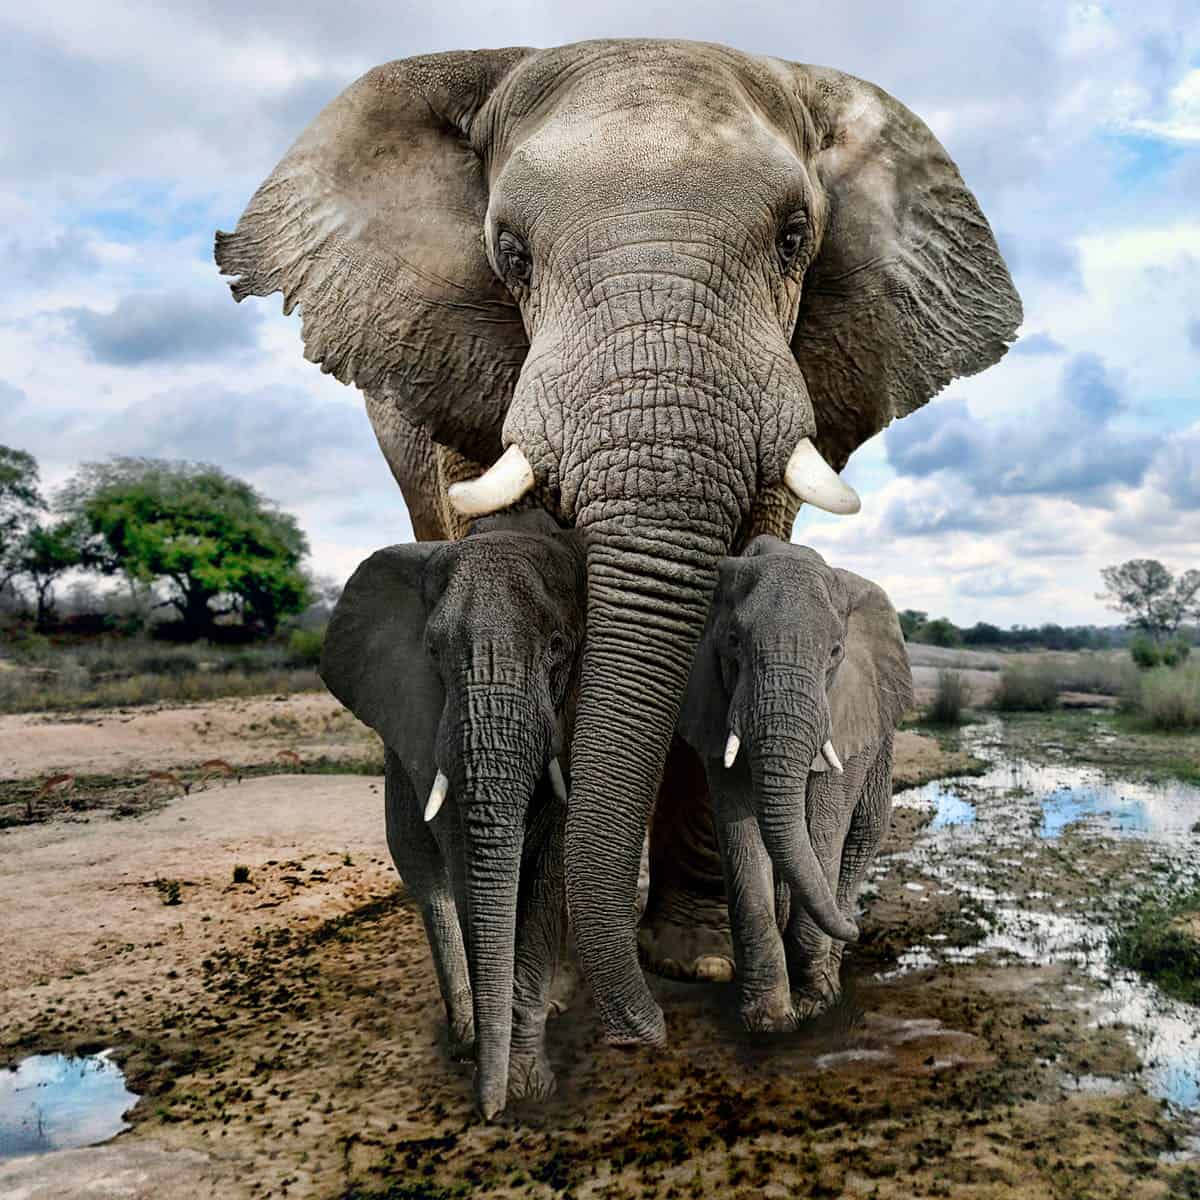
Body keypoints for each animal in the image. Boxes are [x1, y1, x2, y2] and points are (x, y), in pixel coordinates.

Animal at [319, 510, 586, 1118]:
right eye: (434, 653)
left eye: (558, 645)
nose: (487, 1114)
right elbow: (463, 856)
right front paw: (504, 1079)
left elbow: (549, 865)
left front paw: (525, 1089)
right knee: (425, 873)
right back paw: (466, 1036)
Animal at [677, 536, 912, 1031]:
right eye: (733, 642)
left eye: (836, 652)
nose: (858, 929)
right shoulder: (713, 701)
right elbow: (740, 832)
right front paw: (767, 1021)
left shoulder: (847, 711)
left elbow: (824, 827)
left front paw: (816, 1003)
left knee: (862, 835)